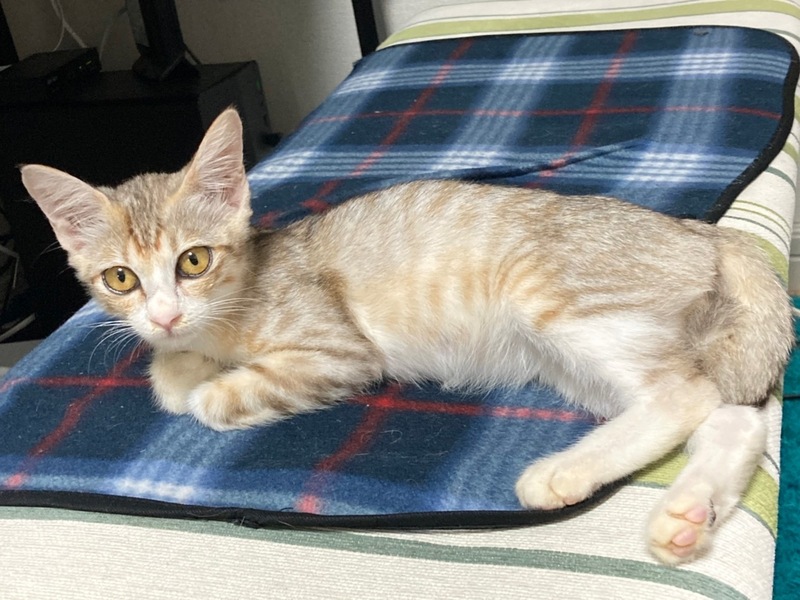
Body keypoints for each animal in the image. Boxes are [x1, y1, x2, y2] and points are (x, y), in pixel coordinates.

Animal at [20, 108, 794, 565]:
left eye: (193, 261)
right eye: (120, 278)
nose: (165, 314)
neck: (234, 308)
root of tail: (700, 229)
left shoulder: (339, 351)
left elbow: (210, 400)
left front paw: (205, 383)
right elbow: (167, 372)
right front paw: (177, 360)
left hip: (555, 301)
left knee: (684, 397)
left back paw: (561, 474)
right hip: (582, 362)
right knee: (730, 414)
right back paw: (685, 516)